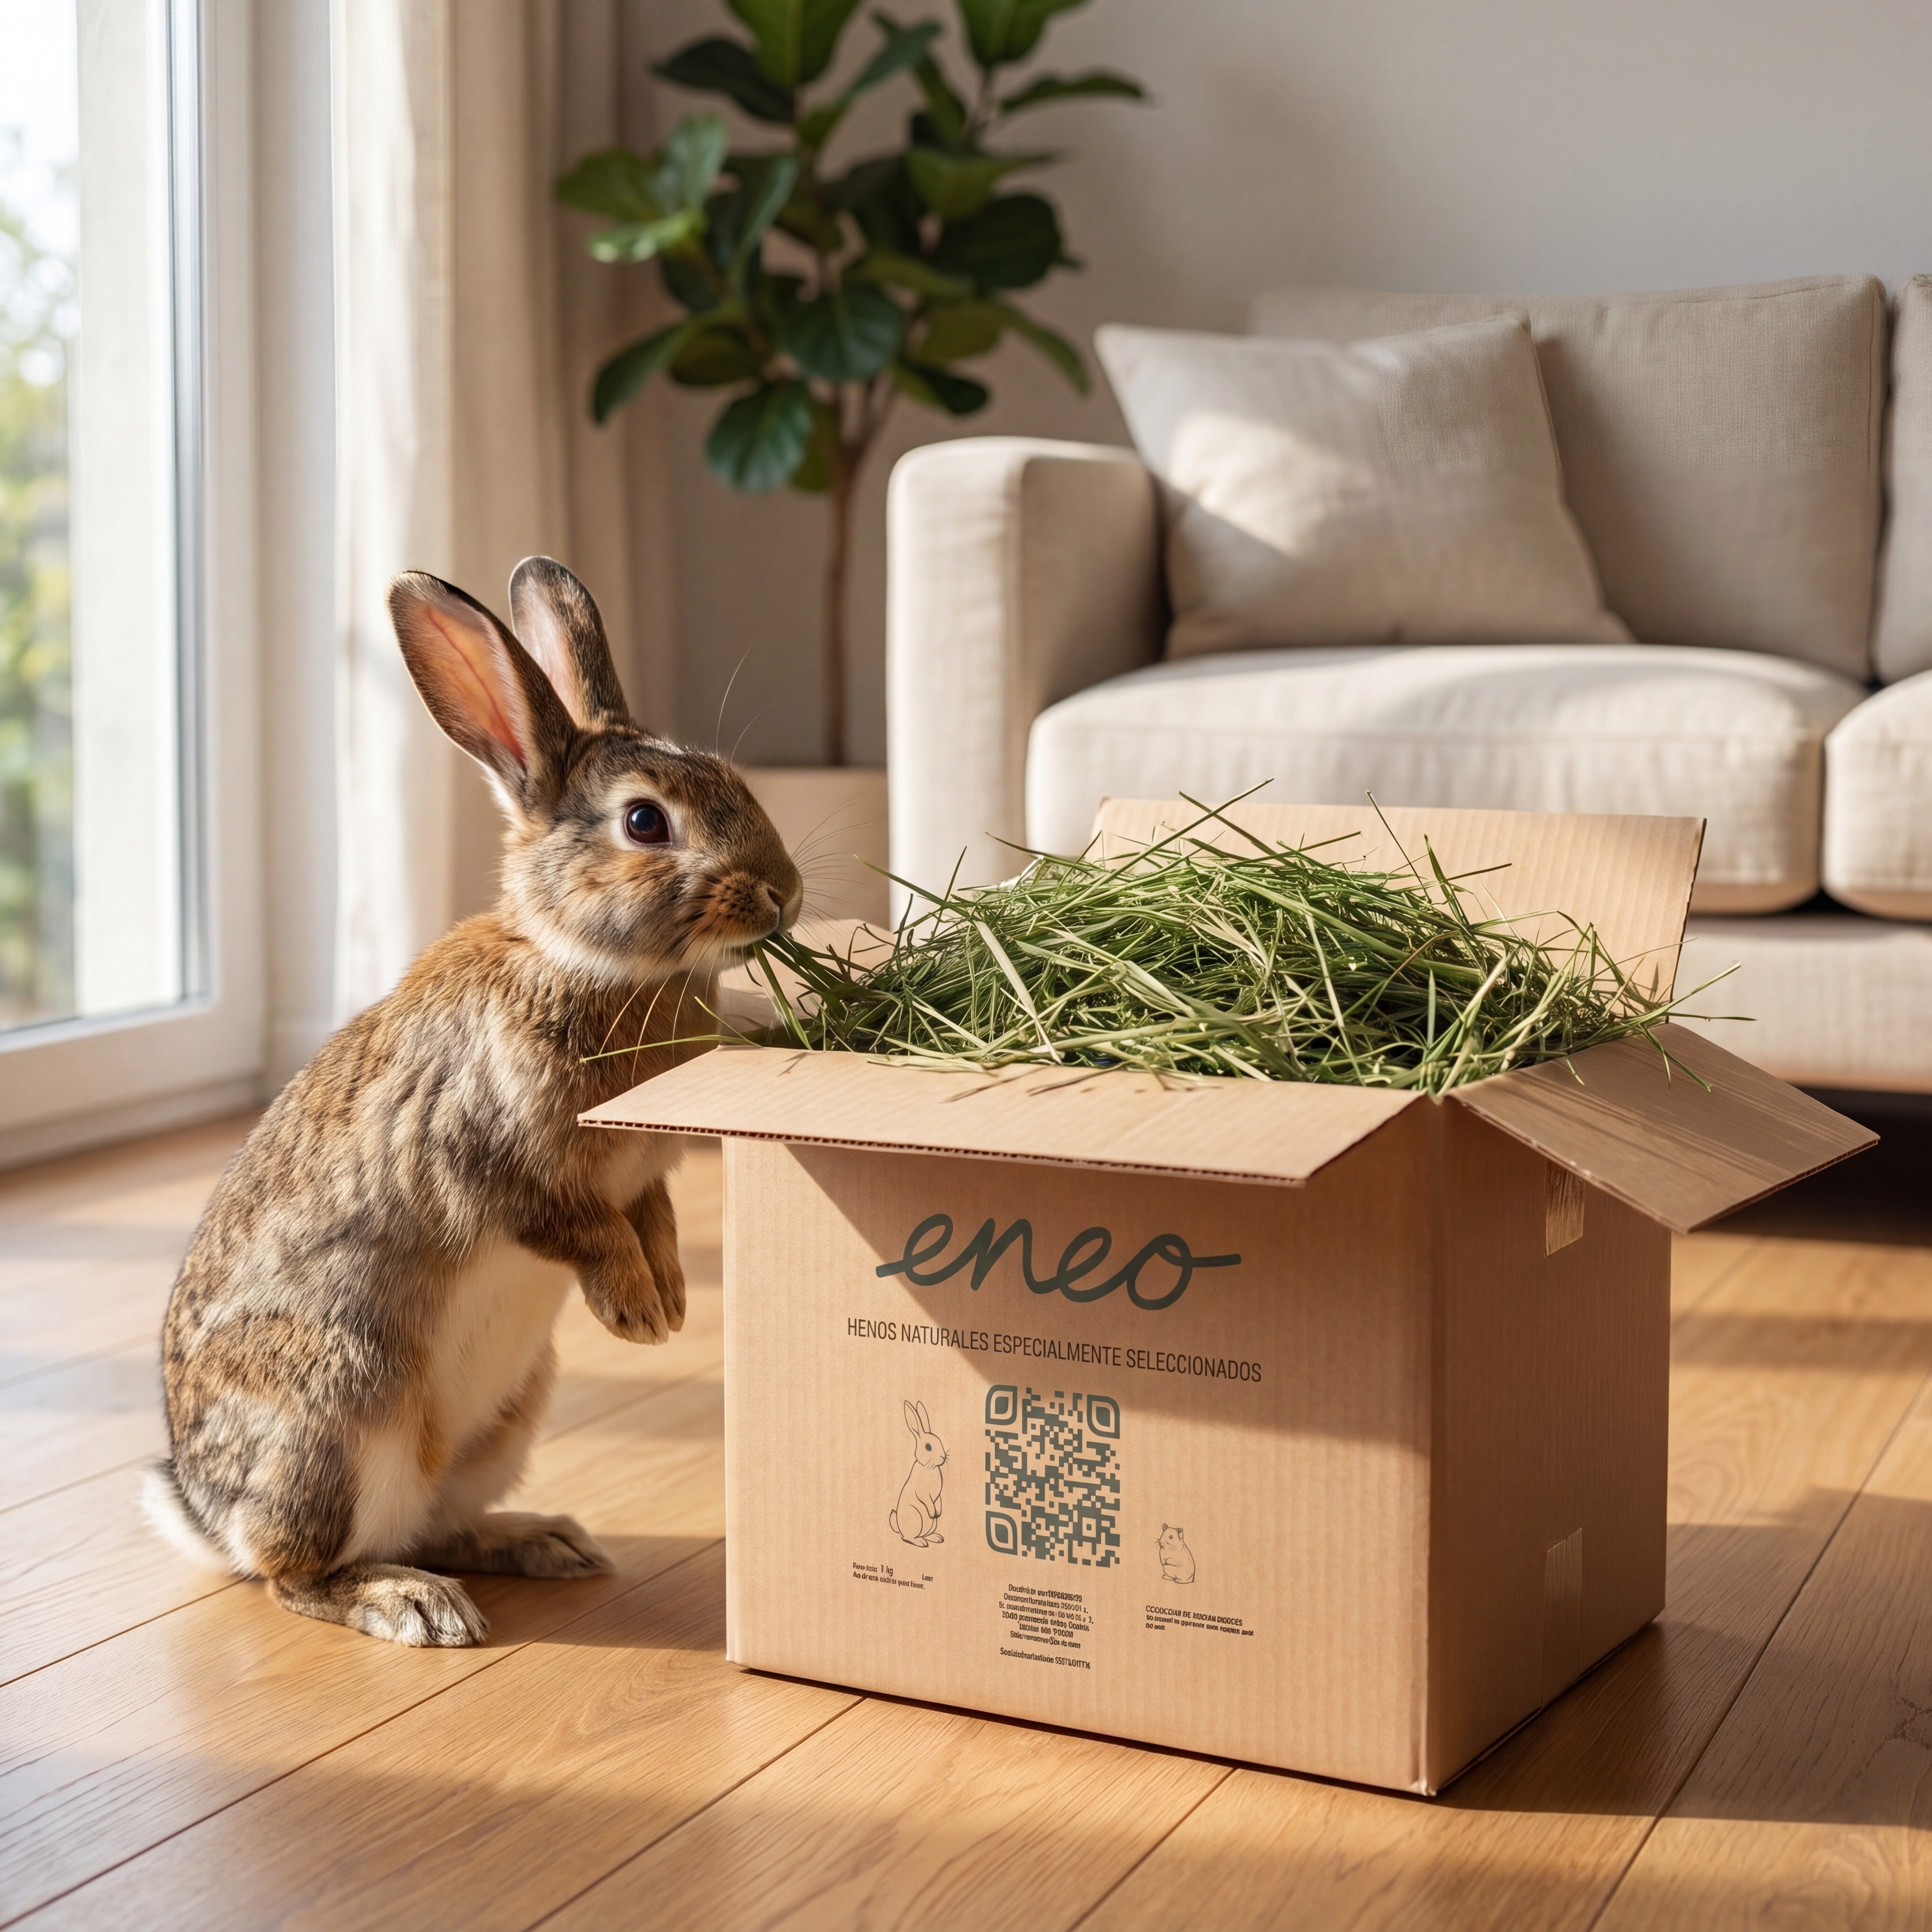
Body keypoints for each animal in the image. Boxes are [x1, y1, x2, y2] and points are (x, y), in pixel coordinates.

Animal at [142, 557, 802, 1647]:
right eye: (644, 821)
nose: (782, 893)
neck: (584, 961)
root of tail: (203, 1511)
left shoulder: (642, 1176)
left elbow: (653, 1215)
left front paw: (667, 1299)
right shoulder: (493, 1164)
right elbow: (578, 1225)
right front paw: (636, 1311)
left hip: (508, 1414)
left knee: (438, 1524)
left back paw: (543, 1543)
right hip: (335, 1410)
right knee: (294, 1573)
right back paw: (410, 1604)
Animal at [890, 1400, 947, 1547]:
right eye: (928, 1447)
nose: (943, 1458)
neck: (928, 1468)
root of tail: (899, 1529)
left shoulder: (938, 1495)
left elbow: (938, 1500)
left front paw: (938, 1512)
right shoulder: (923, 1493)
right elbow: (927, 1500)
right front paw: (933, 1512)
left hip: (932, 1525)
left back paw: (936, 1538)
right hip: (915, 1518)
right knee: (908, 1537)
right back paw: (921, 1542)